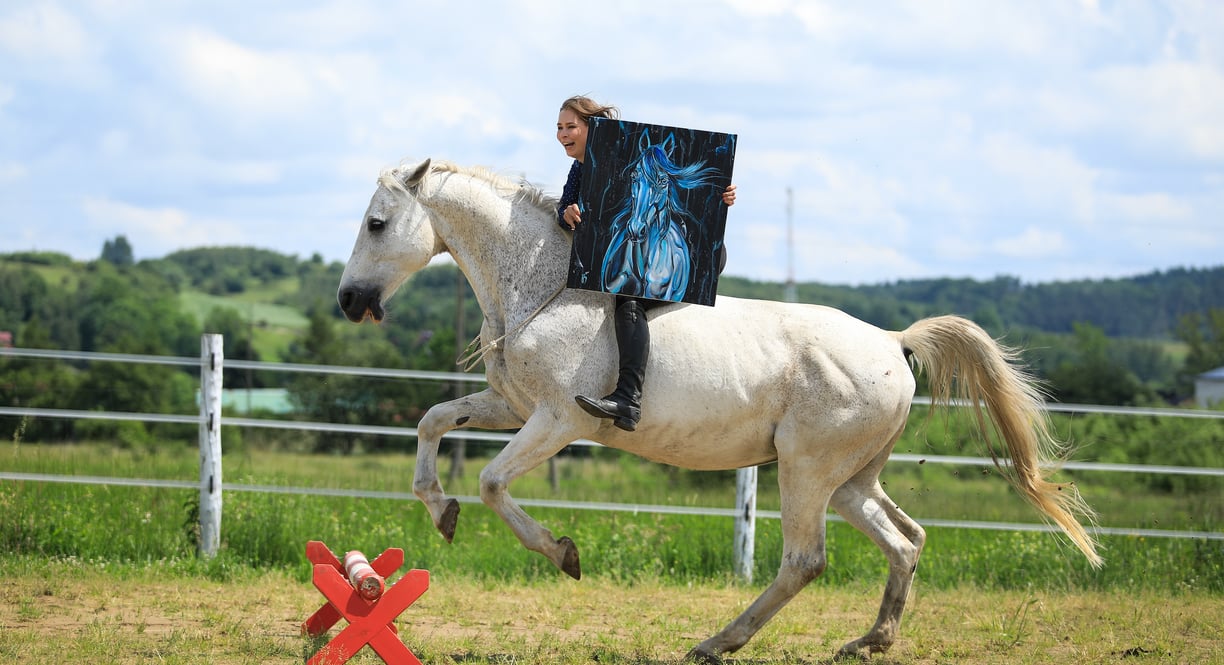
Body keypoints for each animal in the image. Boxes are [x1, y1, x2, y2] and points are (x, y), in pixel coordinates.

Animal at [337, 158, 1101, 662]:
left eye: (376, 223)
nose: (347, 301)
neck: (550, 288)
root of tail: (892, 342)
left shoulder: (559, 421)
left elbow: (494, 482)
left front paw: (563, 553)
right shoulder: (508, 405)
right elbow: (434, 422)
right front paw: (440, 510)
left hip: (804, 471)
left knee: (805, 560)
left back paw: (716, 642)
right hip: (850, 481)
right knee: (904, 540)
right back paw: (868, 641)